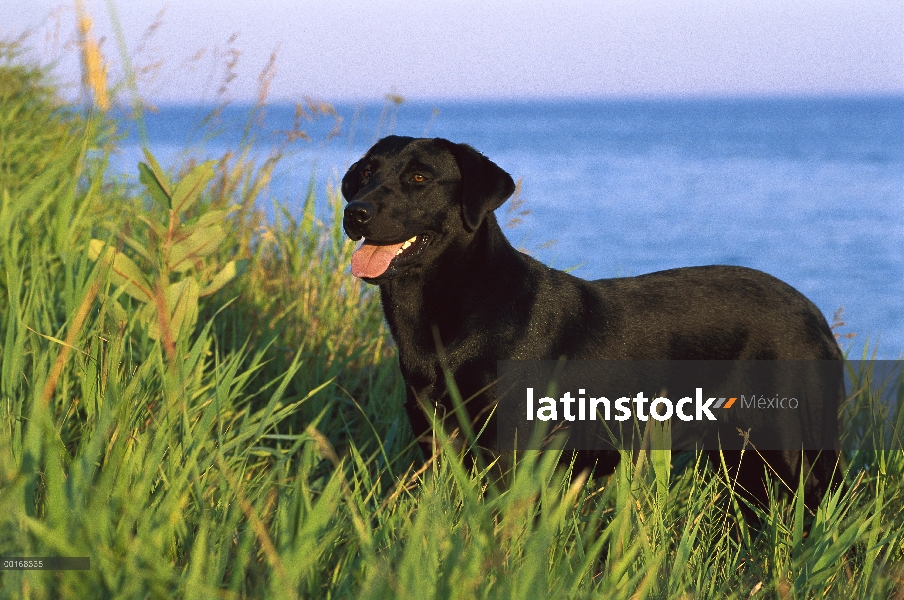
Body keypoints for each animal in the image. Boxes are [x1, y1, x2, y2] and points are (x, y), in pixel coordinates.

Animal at [340, 135, 840, 506]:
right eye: (365, 173)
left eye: (419, 177)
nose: (355, 212)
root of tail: (815, 314)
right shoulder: (434, 441)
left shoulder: (511, 452)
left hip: (788, 446)